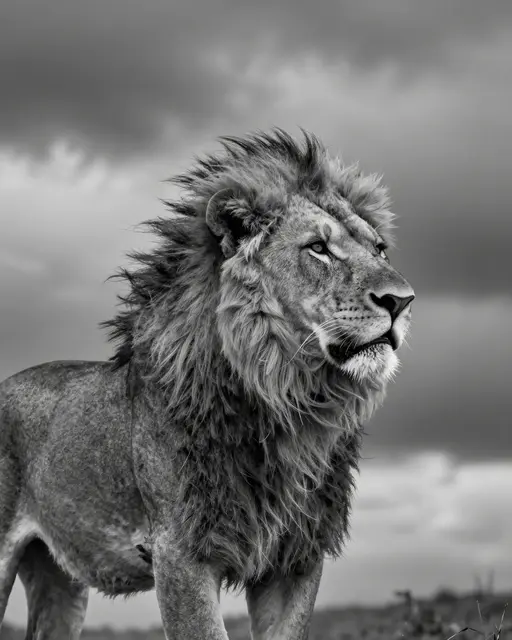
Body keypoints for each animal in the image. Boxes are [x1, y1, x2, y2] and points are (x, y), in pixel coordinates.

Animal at [0, 129, 414, 639]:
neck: (289, 402)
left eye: (379, 249)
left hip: (58, 576)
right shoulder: (181, 554)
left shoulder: (296, 558)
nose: (402, 300)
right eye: (318, 248)